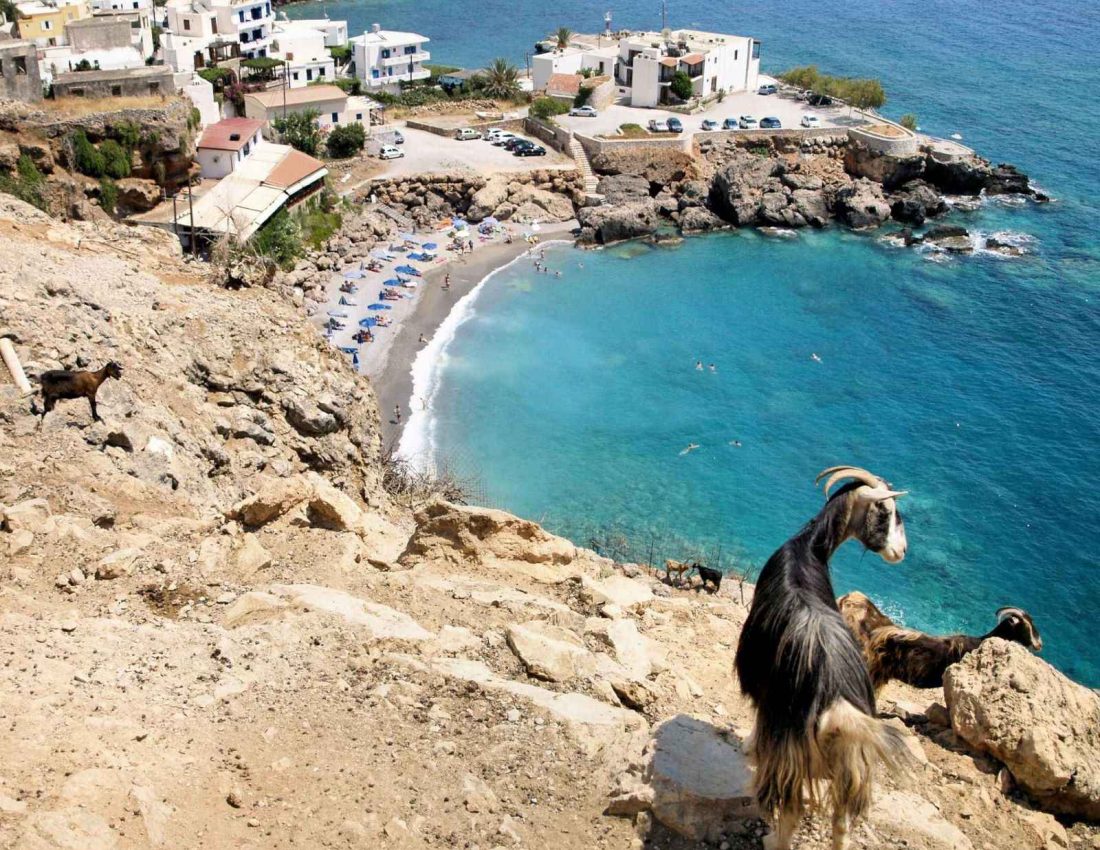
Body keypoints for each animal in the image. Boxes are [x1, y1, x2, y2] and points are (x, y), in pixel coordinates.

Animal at [734, 464, 906, 848]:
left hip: (793, 750)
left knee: (791, 807)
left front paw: (749, 745)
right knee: (841, 822)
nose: (901, 550)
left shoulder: (763, 683)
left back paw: (773, 839)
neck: (808, 548)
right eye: (886, 511)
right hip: (853, 764)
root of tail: (838, 702)